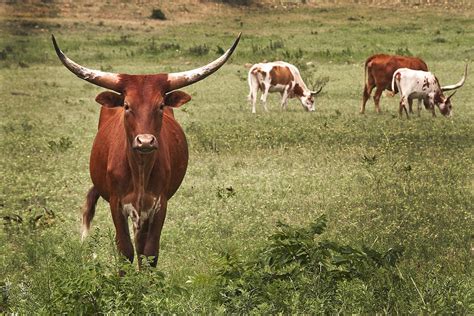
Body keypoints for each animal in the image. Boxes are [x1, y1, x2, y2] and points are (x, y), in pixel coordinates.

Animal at [52, 33, 241, 268]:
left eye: (160, 106)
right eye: (126, 106)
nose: (145, 141)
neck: (140, 169)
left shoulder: (159, 204)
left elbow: (149, 253)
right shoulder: (117, 204)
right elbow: (125, 251)